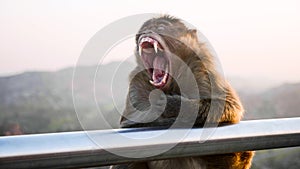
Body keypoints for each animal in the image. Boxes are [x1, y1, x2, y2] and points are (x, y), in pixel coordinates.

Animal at [112, 14, 253, 169]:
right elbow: (132, 121)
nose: (145, 34)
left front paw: (173, 105)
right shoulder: (137, 81)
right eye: (142, 31)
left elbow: (229, 105)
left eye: (160, 27)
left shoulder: (202, 69)